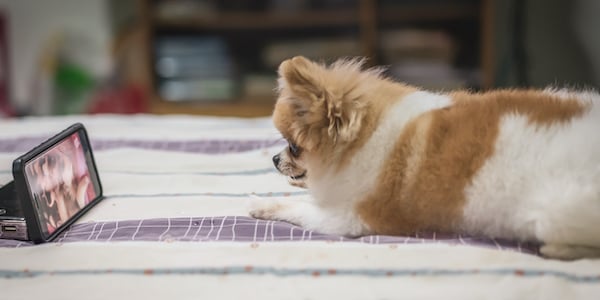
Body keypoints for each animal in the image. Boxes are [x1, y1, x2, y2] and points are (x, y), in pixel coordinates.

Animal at [250, 56, 600, 260]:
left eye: (294, 146)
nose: (274, 159)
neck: (369, 133)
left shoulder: (348, 218)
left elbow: (298, 208)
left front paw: (262, 204)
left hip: (554, 213)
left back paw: (558, 249)